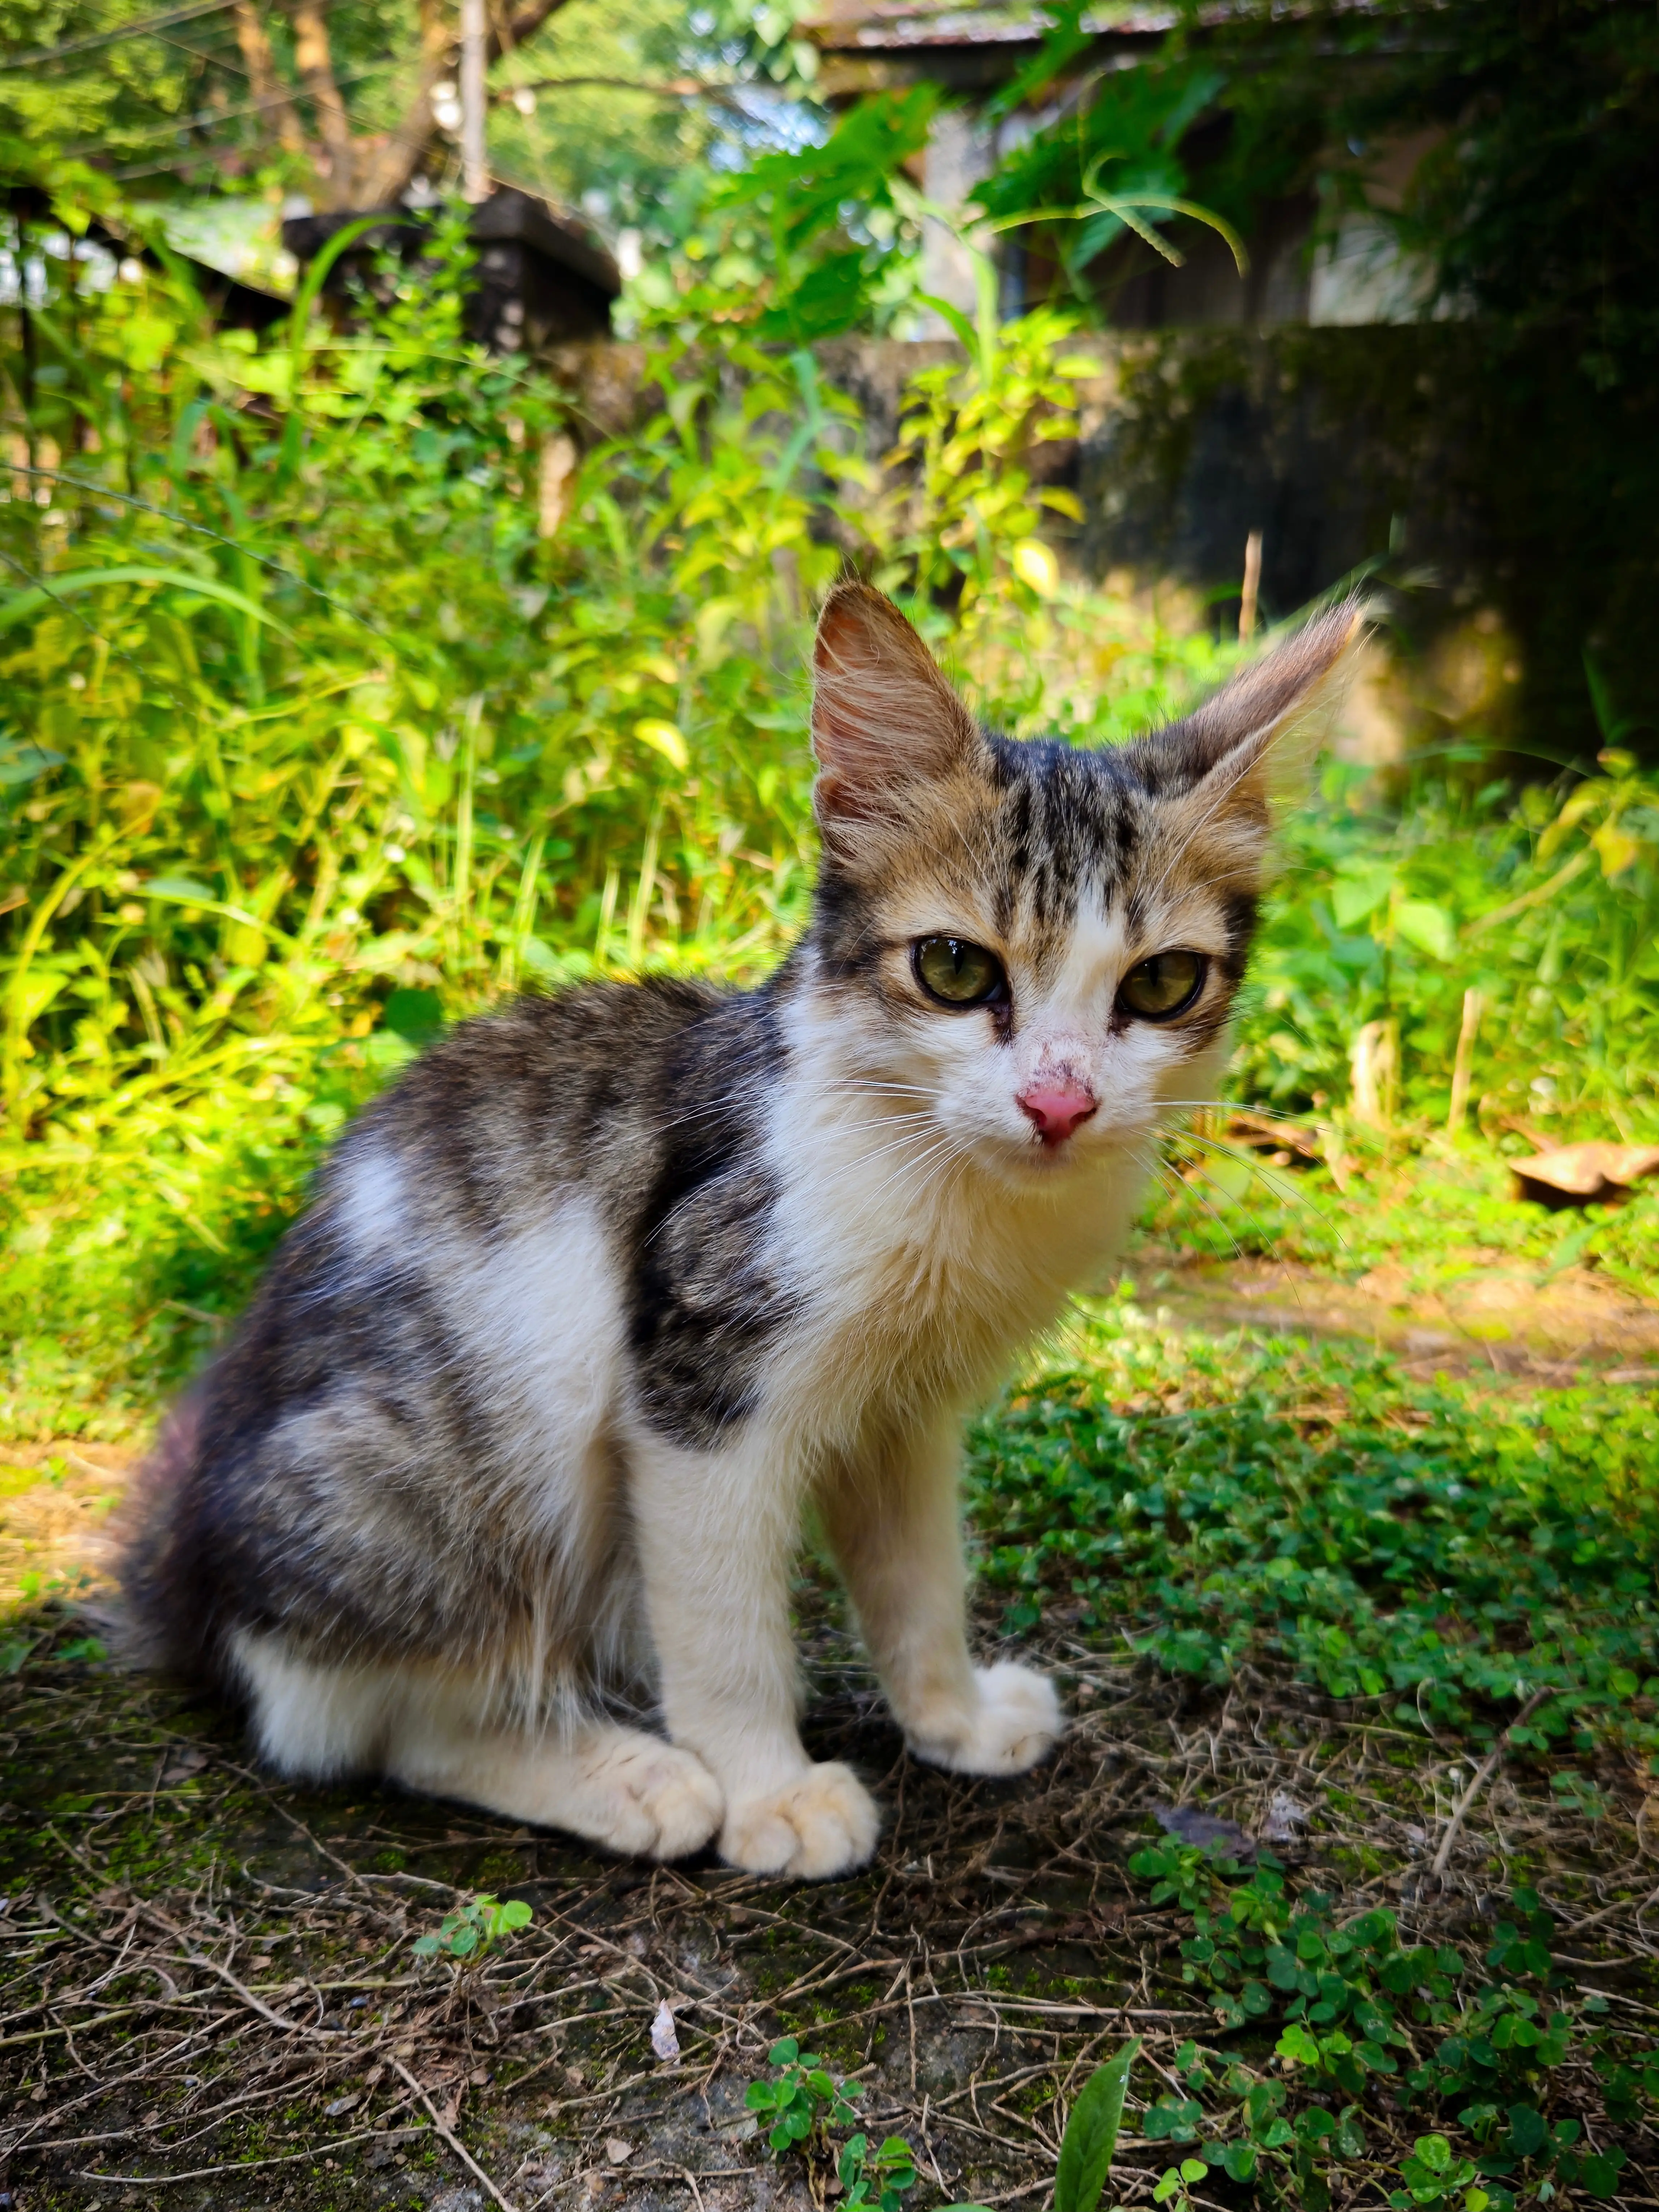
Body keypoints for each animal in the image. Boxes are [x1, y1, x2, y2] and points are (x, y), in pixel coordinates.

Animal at [120, 579, 1362, 1876]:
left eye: (1163, 984)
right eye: (955, 966)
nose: (1060, 1103)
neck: (936, 1178)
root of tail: (194, 1591)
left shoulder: (906, 1413)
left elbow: (919, 1572)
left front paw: (955, 1716)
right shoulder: (698, 1371)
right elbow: (720, 1616)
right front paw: (770, 1790)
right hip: (470, 1436)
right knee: (370, 1719)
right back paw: (625, 1775)